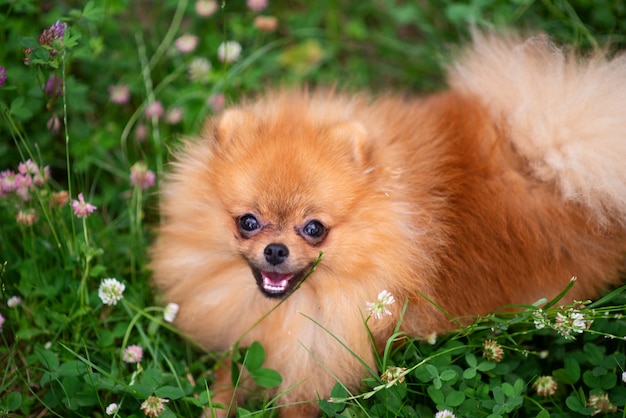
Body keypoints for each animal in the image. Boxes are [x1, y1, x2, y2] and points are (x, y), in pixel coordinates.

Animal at [151, 33, 624, 418]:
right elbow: (226, 379)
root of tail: (550, 159)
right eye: (248, 222)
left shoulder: (317, 356)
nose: (276, 250)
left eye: (314, 228)